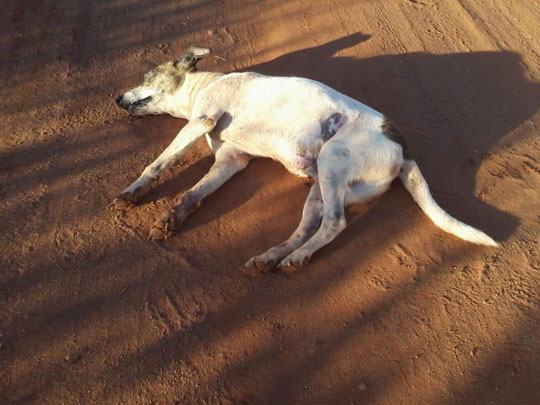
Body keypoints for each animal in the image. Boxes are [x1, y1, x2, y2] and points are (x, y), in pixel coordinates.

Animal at [114, 45, 498, 272]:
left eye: (147, 76)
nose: (116, 98)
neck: (204, 85)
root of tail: (404, 149)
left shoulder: (202, 120)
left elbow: (158, 162)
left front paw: (133, 193)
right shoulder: (231, 162)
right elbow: (193, 193)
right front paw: (172, 219)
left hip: (331, 159)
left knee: (335, 224)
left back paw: (295, 258)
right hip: (323, 188)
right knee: (308, 228)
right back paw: (273, 256)